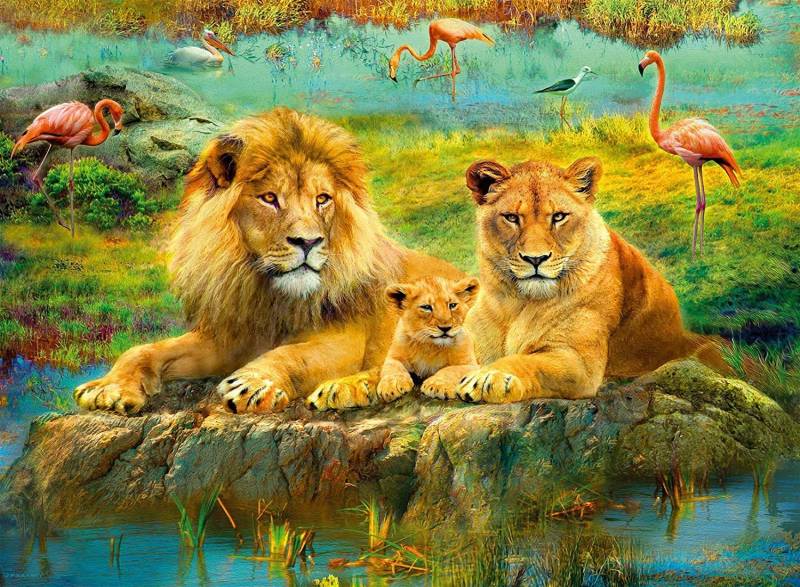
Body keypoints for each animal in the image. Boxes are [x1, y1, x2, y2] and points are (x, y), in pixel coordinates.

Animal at [73, 108, 462, 415]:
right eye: (270, 198)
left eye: (323, 199)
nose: (308, 241)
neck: (269, 294)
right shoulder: (228, 338)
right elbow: (143, 349)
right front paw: (108, 387)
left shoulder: (345, 339)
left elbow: (292, 355)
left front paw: (253, 383)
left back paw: (346, 388)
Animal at [455, 156, 726, 403]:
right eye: (511, 217)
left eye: (559, 217)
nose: (536, 258)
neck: (517, 303)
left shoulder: (578, 363)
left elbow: (526, 361)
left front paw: (491, 377)